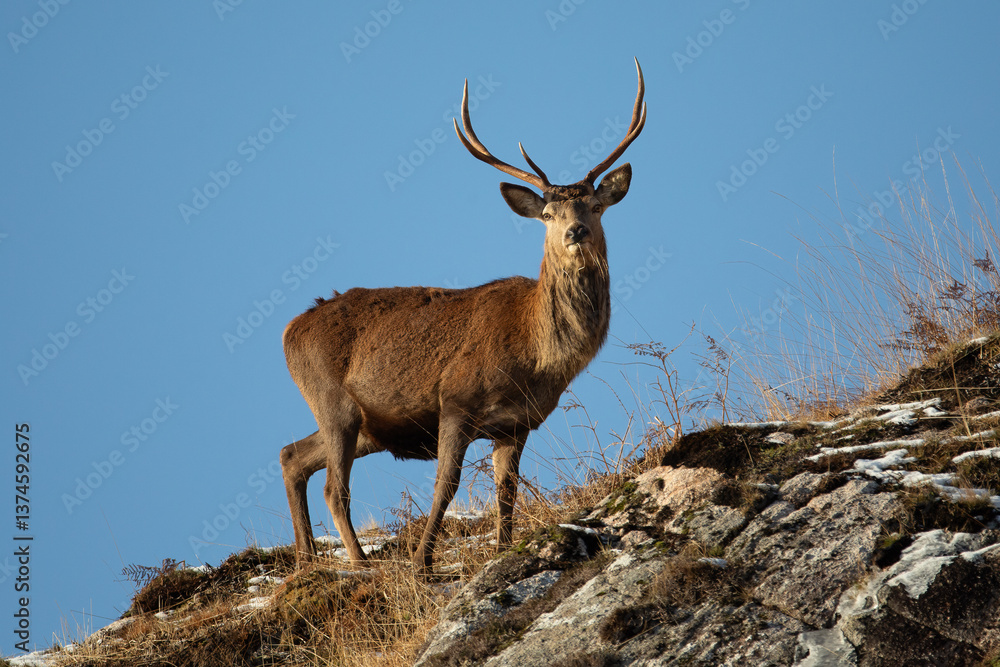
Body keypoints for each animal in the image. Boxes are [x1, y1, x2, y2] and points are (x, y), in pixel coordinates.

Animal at [280, 59, 646, 574]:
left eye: (595, 206)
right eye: (548, 214)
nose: (575, 231)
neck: (536, 356)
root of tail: (290, 330)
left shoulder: (517, 424)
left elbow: (507, 492)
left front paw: (503, 550)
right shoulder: (455, 397)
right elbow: (446, 484)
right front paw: (421, 562)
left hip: (367, 425)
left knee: (292, 455)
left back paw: (308, 560)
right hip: (333, 401)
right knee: (335, 487)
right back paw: (359, 563)